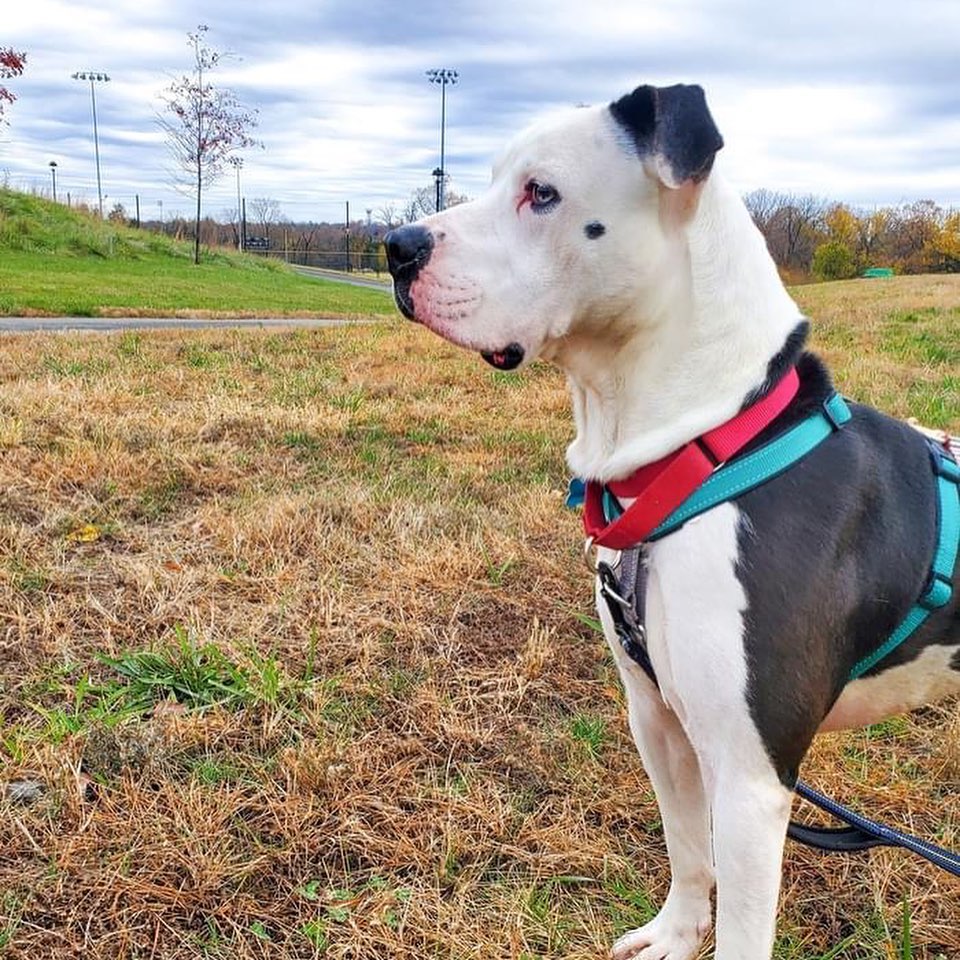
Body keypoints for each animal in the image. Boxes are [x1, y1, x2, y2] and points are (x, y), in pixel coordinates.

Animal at [384, 82, 960, 960]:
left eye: (541, 192)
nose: (395, 246)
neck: (711, 447)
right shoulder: (657, 719)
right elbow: (686, 847)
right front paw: (678, 932)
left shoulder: (752, 779)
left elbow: (745, 930)